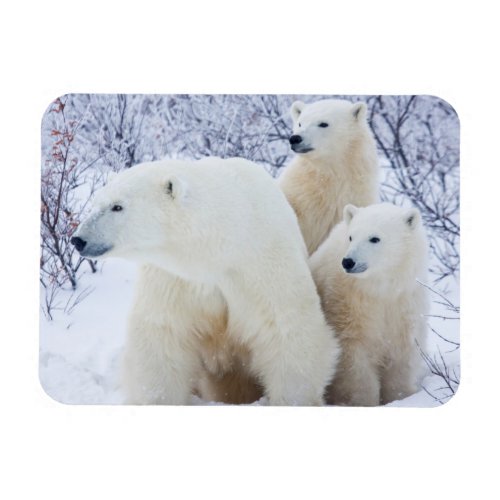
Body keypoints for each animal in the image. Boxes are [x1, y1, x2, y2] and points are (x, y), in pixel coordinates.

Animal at [71, 156, 340, 406]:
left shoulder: (261, 264)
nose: (78, 239)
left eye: (117, 206)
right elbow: (162, 334)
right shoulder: (175, 279)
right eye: (96, 202)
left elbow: (287, 329)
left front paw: (294, 400)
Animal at [310, 203, 428, 406]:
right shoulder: (347, 305)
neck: (378, 288)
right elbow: (355, 361)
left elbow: (401, 354)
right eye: (351, 236)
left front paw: (402, 396)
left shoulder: (404, 304)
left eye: (374, 238)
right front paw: (363, 402)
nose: (348, 262)